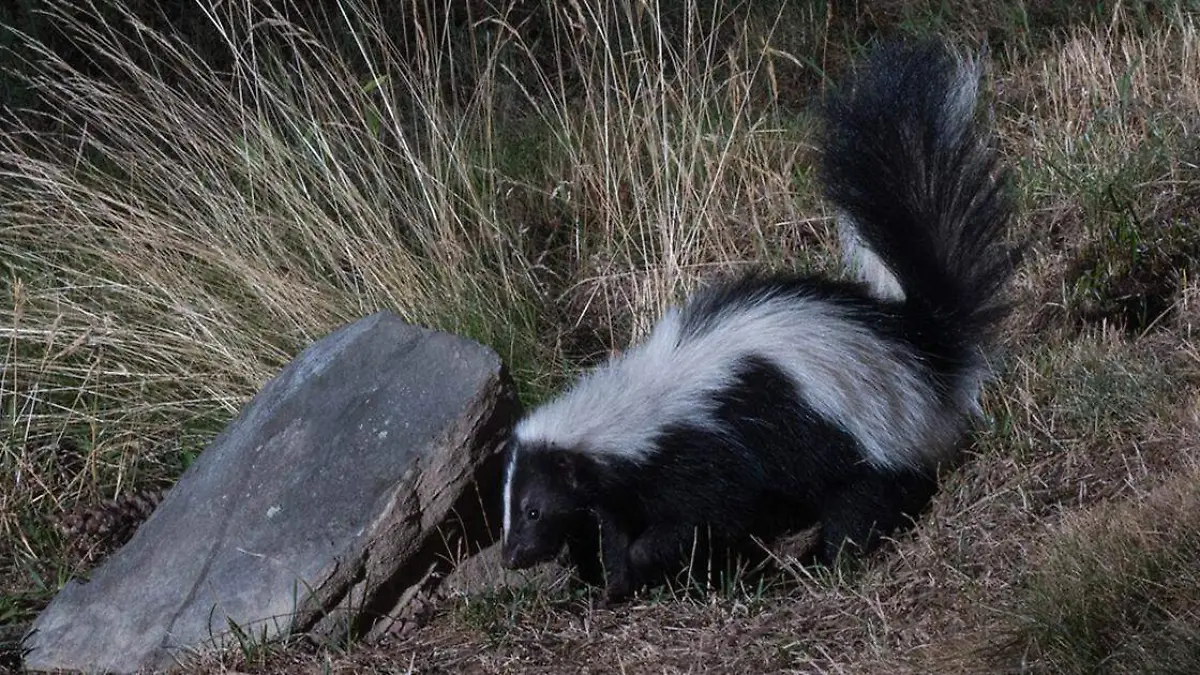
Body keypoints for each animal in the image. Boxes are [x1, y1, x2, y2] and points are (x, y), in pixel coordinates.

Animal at [499, 40, 1022, 598]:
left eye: (534, 510)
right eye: (512, 509)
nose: (511, 557)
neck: (637, 411)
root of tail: (921, 344)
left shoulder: (708, 452)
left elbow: (706, 515)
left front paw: (653, 564)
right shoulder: (627, 490)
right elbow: (619, 530)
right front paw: (617, 586)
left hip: (863, 434)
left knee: (865, 501)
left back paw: (827, 560)